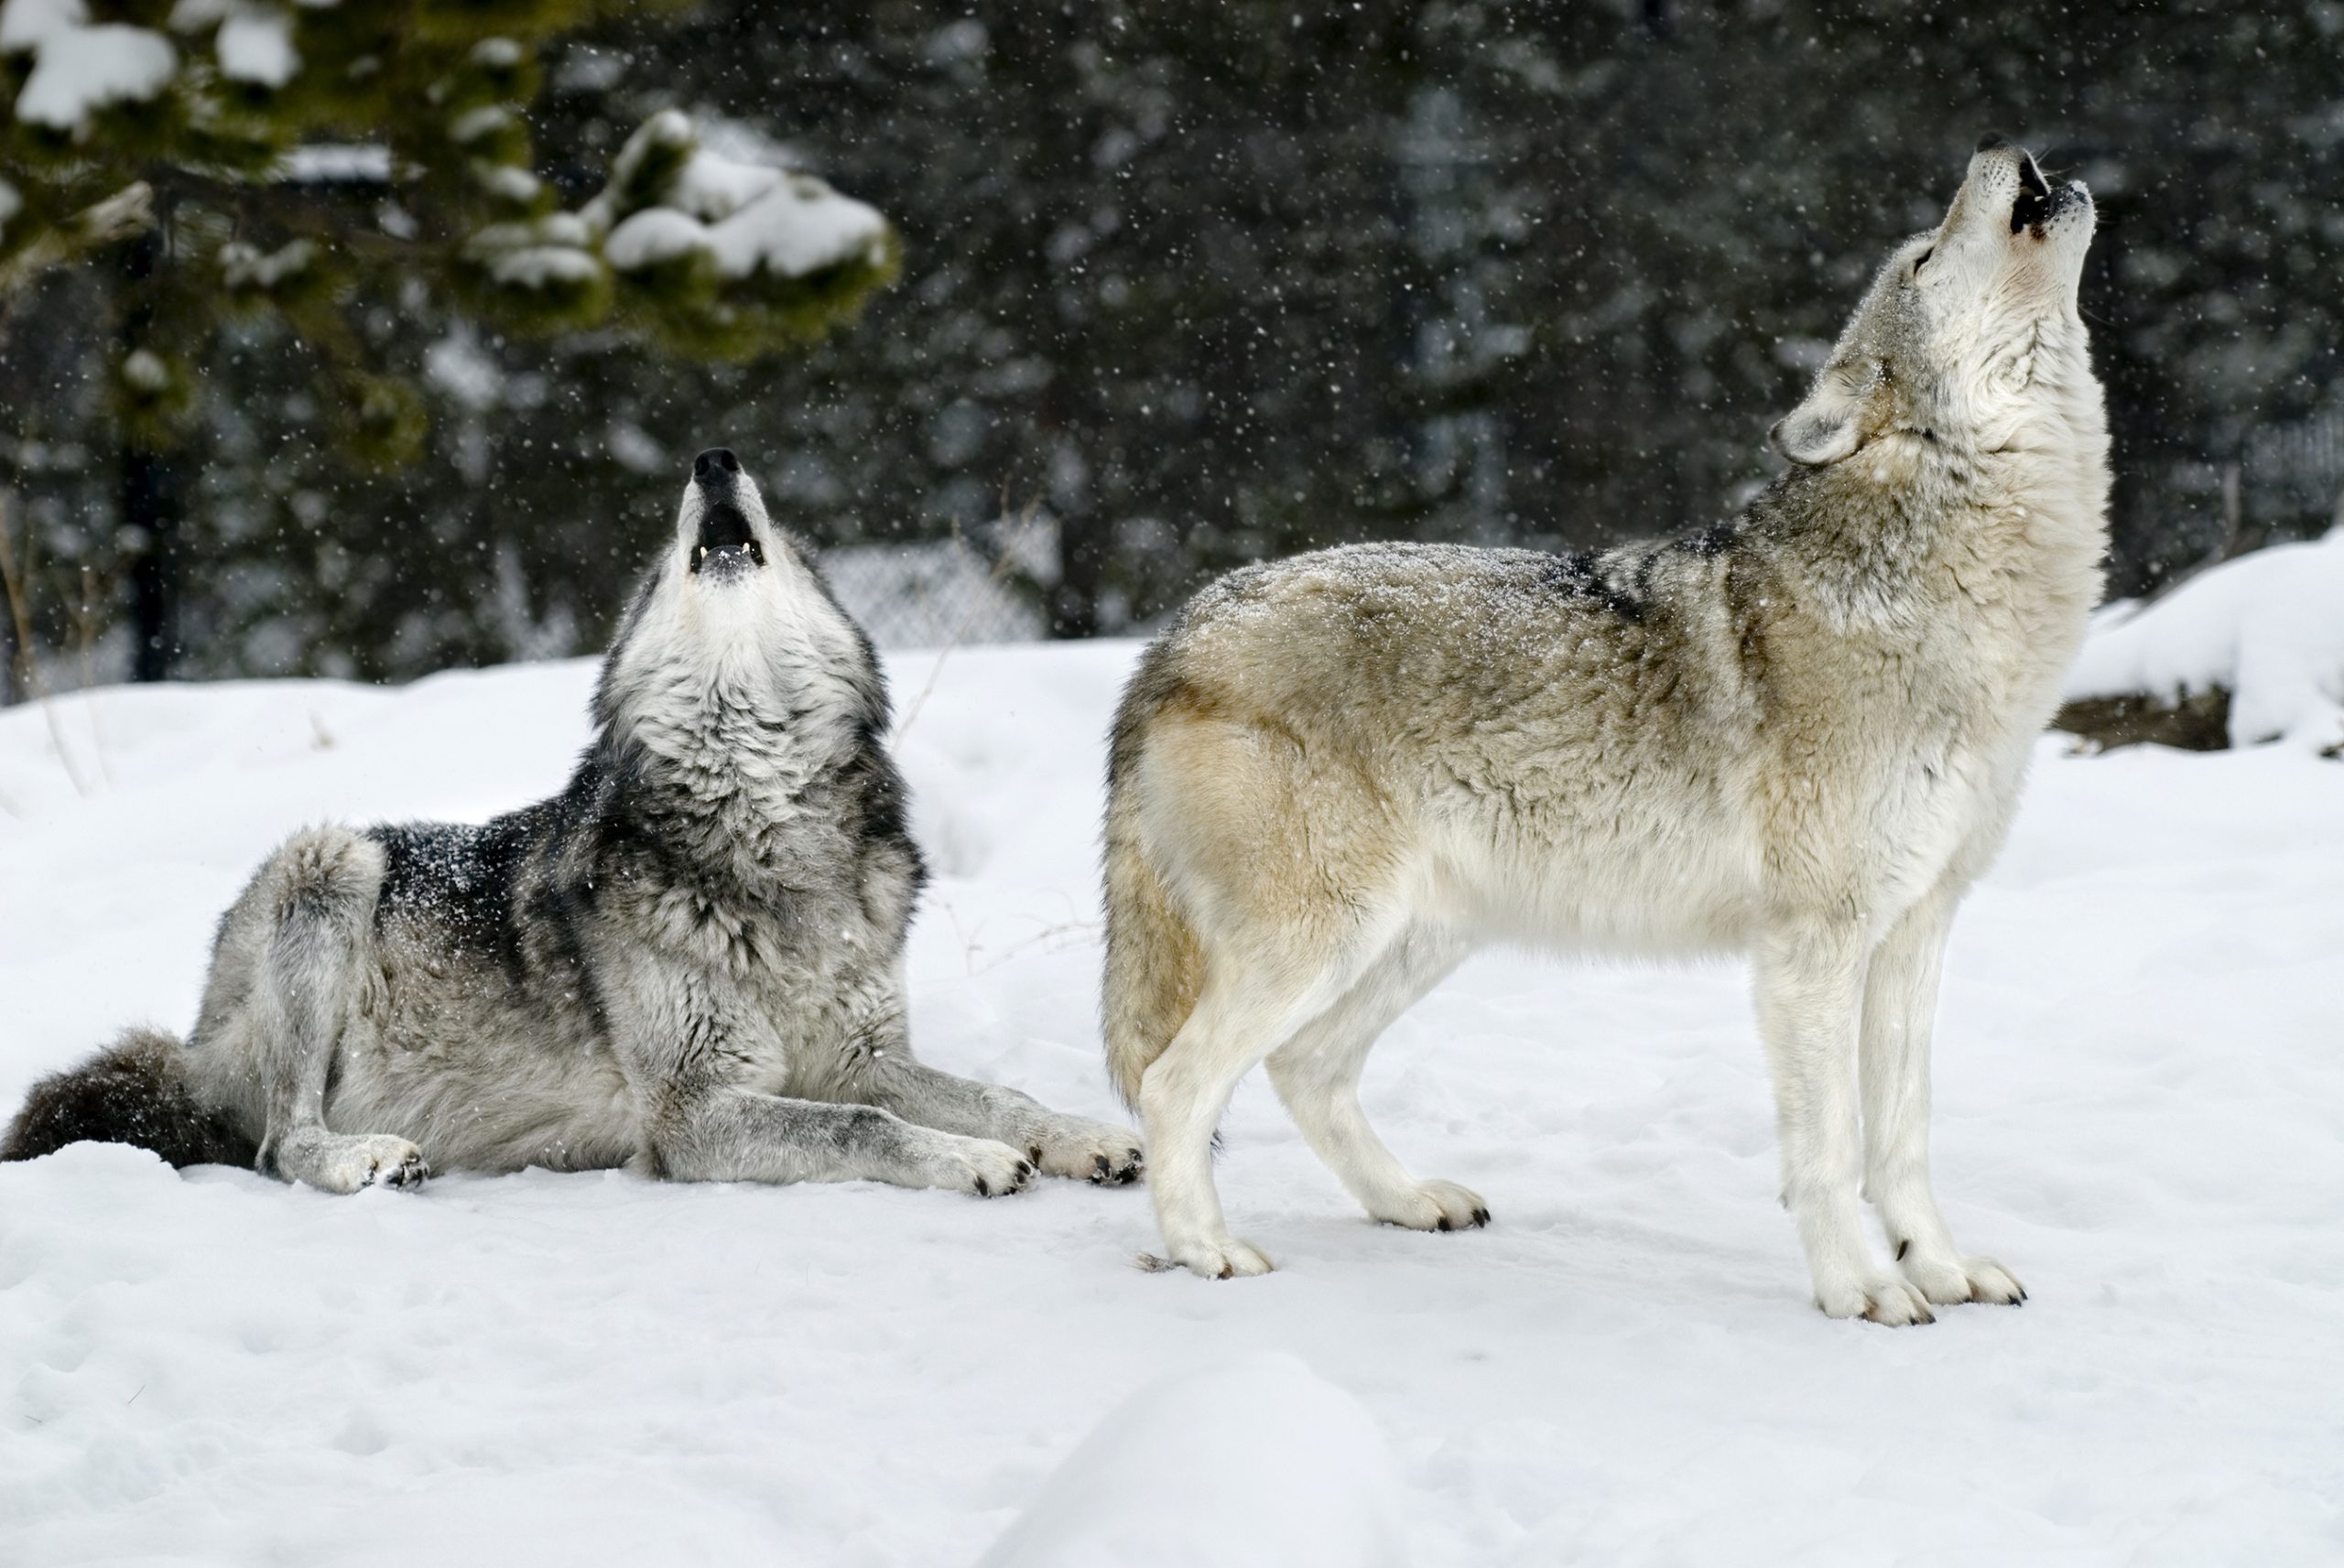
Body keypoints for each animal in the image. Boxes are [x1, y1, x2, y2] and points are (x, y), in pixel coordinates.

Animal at [9, 449, 1144, 1199]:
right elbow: (869, 1129)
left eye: (787, 548)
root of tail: (198, 1037)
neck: (767, 827)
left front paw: (1081, 1135)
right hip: (329, 861)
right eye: (656, 568)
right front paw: (977, 1161)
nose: (714, 458)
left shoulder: (859, 1057)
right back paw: (368, 1157)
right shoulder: (694, 1115)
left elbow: (996, 1094)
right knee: (278, 1143)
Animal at [1097, 135, 2110, 1322]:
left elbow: (1901, 1138)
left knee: (1302, 1067)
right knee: (1176, 1083)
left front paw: (1940, 1270)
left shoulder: (1916, 928)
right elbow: (1829, 1150)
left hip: (1413, 938)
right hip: (1323, 938)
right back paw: (1205, 1250)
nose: (2008, 149)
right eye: (1921, 257)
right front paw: (1860, 1290)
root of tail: (1180, 629)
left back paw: (1407, 1202)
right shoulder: (1812, 943)